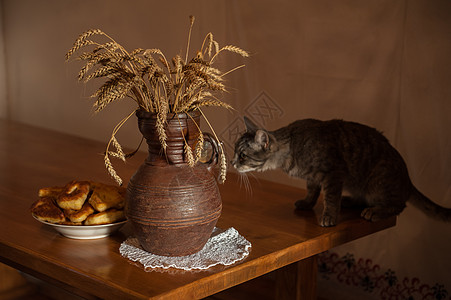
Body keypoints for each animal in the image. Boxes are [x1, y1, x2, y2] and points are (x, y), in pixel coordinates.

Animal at [231, 117, 450, 227]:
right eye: (234, 152)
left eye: (242, 156)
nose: (232, 163)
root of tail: (408, 180)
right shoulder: (314, 178)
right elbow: (312, 191)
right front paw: (307, 203)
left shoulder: (333, 173)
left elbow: (329, 198)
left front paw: (329, 216)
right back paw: (350, 201)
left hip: (377, 183)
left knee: (398, 205)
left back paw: (375, 211)